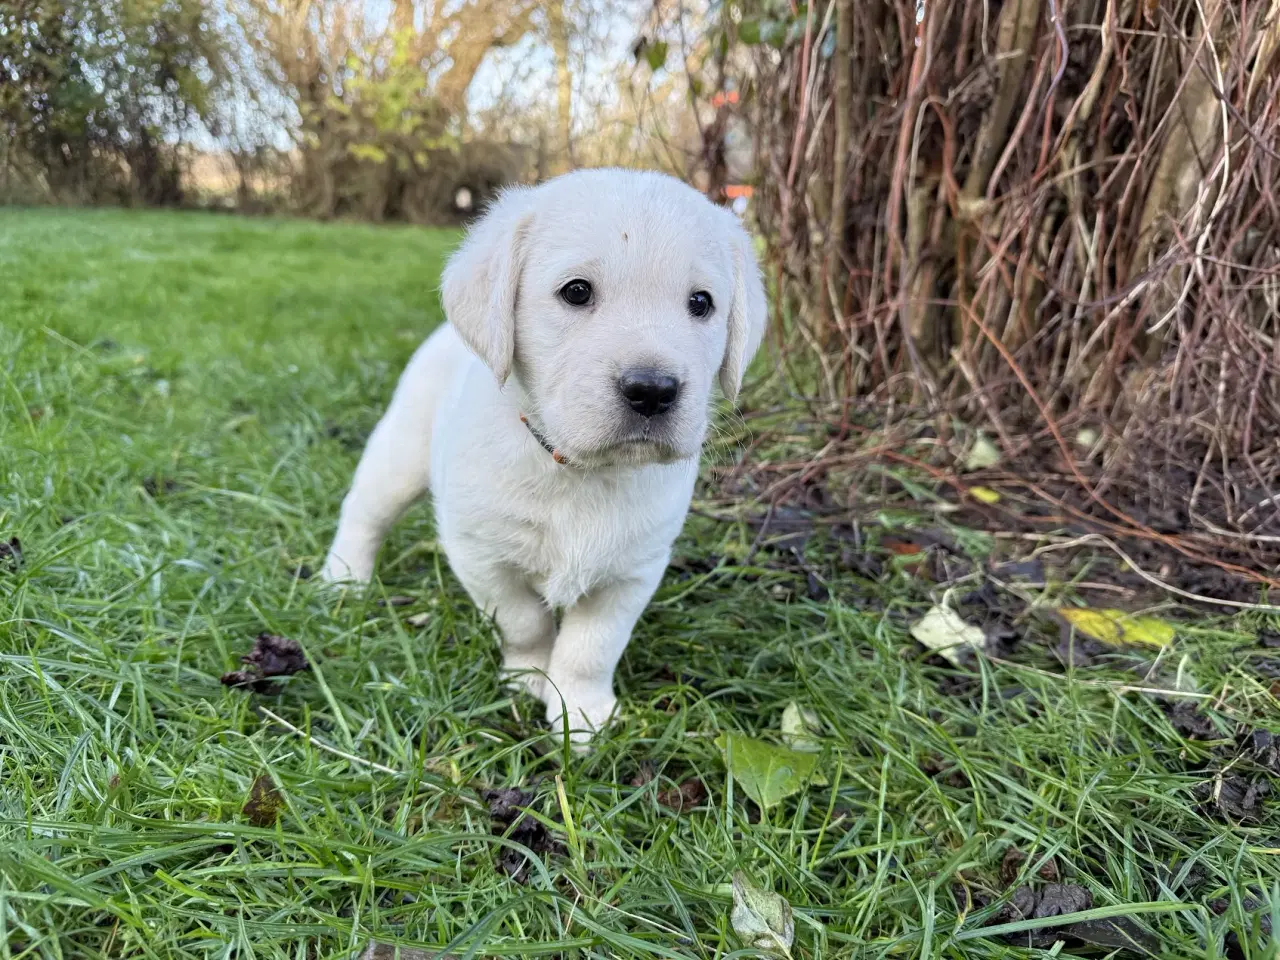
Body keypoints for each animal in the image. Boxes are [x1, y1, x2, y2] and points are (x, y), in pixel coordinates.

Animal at [318, 168, 762, 742]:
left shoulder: (633, 570)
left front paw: (581, 712)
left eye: (702, 303)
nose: (653, 390)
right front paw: (529, 677)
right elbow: (524, 621)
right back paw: (344, 577)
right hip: (399, 453)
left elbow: (591, 646)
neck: (580, 471)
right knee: (364, 512)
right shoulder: (482, 555)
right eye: (576, 292)